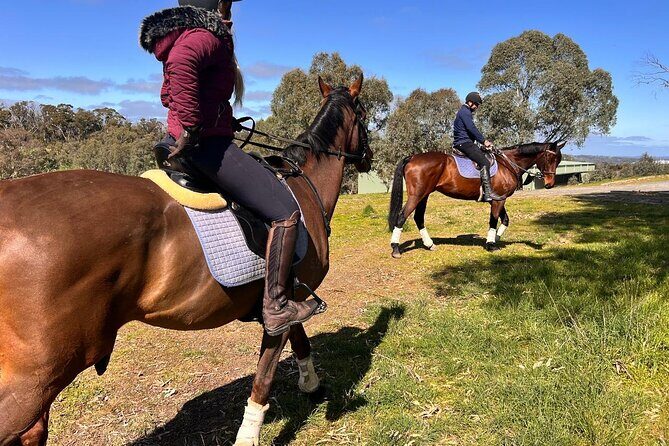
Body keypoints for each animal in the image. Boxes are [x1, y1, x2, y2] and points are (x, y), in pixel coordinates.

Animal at [0, 75, 372, 446]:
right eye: (365, 114)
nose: (367, 158)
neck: (304, 186)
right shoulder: (281, 307)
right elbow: (265, 375)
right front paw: (250, 434)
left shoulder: (292, 297)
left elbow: (300, 339)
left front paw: (312, 385)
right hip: (35, 380)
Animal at [387, 141, 565, 258]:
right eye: (551, 159)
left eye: (558, 160)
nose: (550, 184)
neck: (508, 164)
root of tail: (412, 157)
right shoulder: (498, 200)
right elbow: (493, 220)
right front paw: (491, 244)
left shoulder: (499, 199)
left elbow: (505, 220)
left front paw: (495, 239)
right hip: (417, 195)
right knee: (402, 216)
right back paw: (395, 249)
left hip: (424, 195)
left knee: (418, 218)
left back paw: (429, 244)